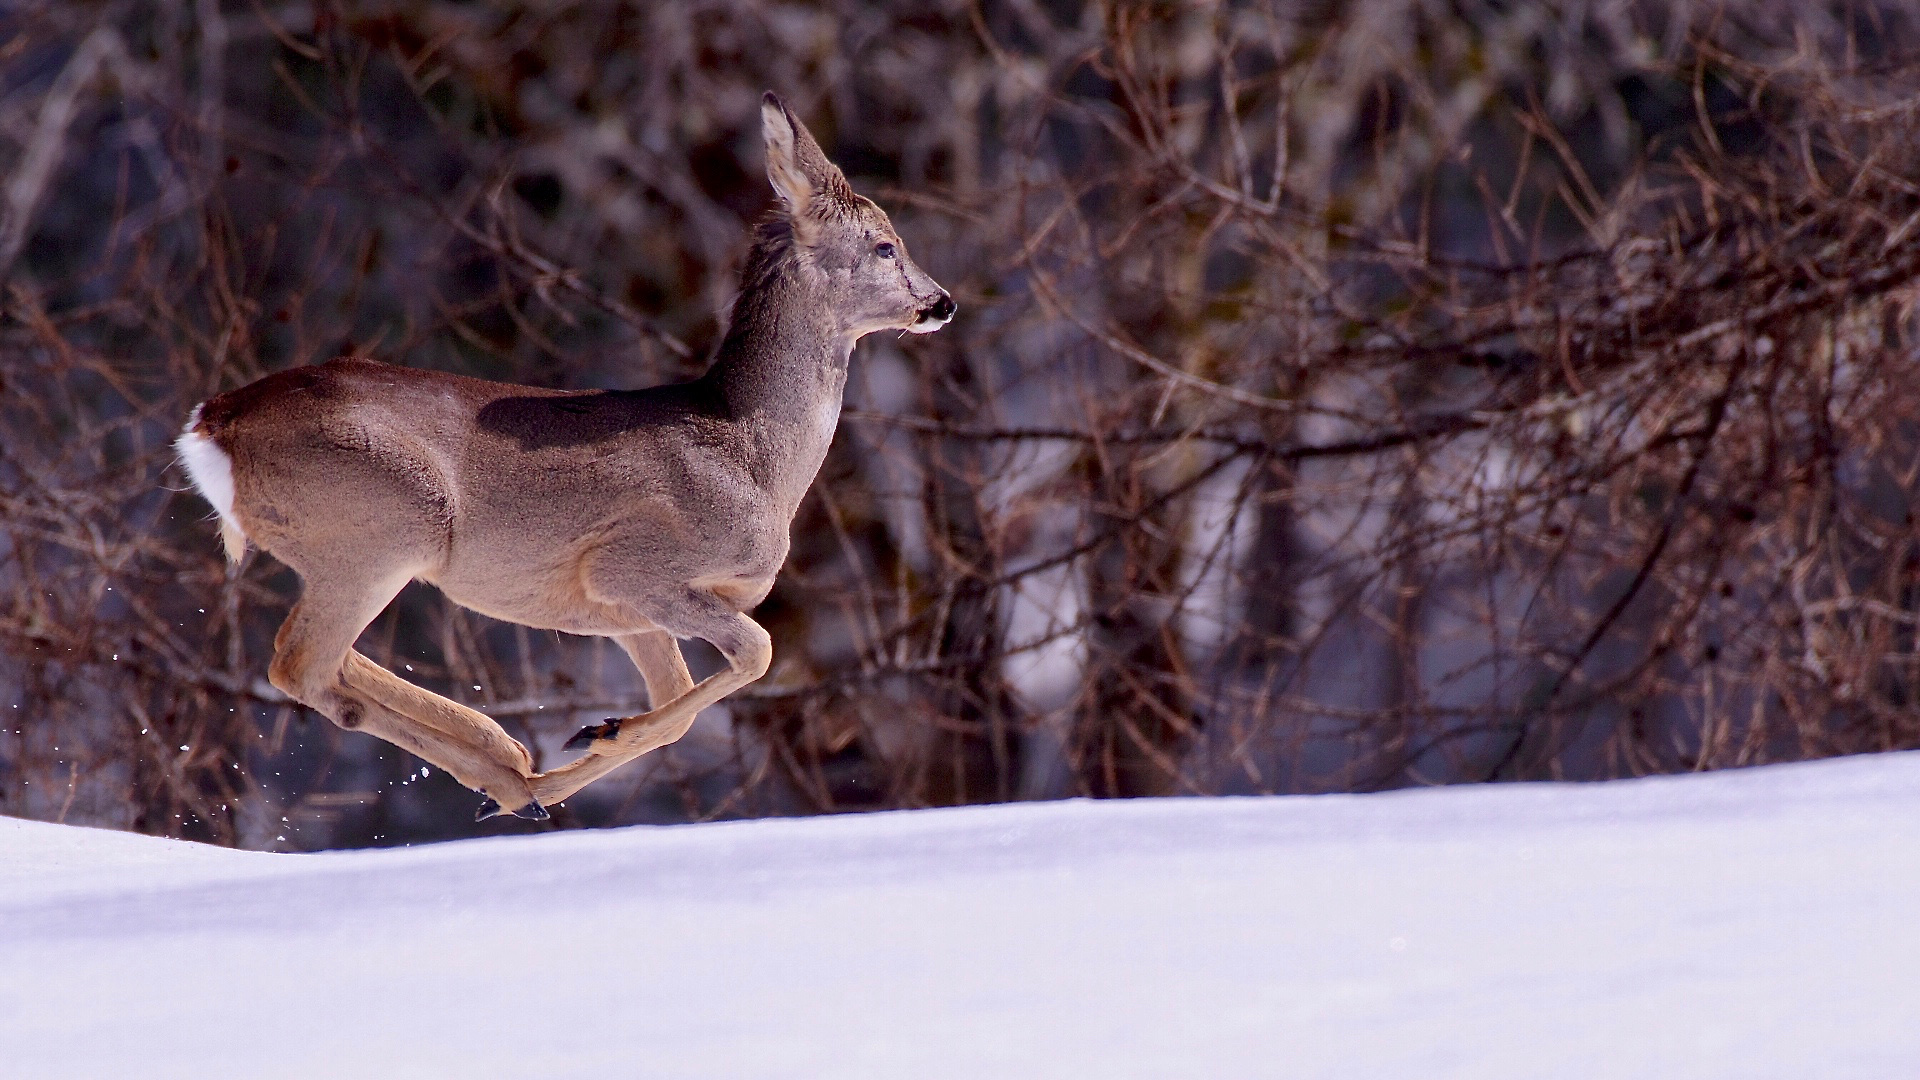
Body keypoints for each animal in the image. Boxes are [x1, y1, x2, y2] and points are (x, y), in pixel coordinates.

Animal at [173, 93, 954, 821]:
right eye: (886, 244)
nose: (942, 300)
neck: (755, 455)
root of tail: (212, 425)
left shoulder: (628, 615)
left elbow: (680, 703)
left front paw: (585, 745)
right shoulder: (632, 565)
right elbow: (757, 652)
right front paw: (596, 734)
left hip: (359, 547)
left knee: (327, 663)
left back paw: (505, 768)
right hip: (384, 525)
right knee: (300, 664)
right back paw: (505, 770)